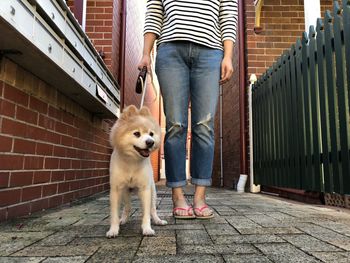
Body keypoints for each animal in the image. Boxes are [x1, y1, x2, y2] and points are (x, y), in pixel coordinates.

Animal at [106, 105, 167, 239]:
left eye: (151, 134)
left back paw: (158, 220)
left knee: (152, 210)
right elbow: (114, 214)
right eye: (136, 133)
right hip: (125, 192)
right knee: (127, 207)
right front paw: (113, 230)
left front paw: (147, 229)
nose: (150, 142)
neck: (132, 162)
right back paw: (123, 219)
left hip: (153, 192)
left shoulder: (145, 189)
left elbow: (146, 213)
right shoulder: (116, 189)